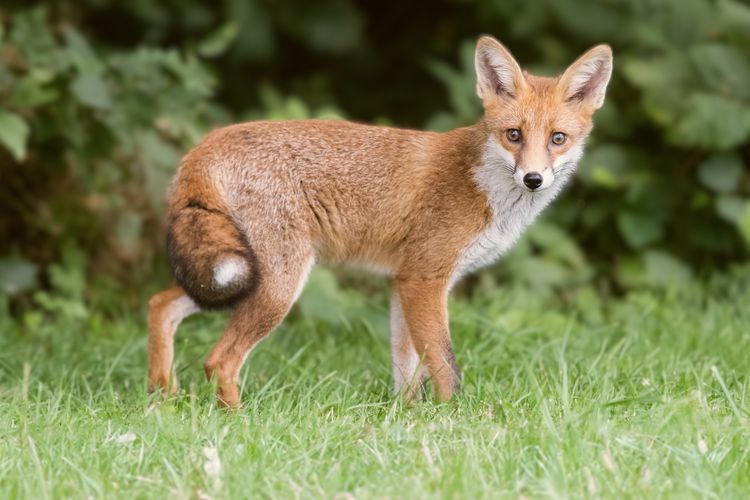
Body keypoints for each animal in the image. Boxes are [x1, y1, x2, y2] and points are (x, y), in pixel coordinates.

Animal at [147, 36, 613, 407]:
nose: (533, 179)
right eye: (513, 135)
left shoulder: (403, 282)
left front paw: (408, 421)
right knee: (218, 361)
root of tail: (205, 144)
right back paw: (239, 423)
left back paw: (162, 400)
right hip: (276, 283)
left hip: (232, 274)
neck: (481, 186)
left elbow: (409, 370)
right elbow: (445, 366)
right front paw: (456, 421)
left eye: (557, 139)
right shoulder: (423, 279)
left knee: (161, 304)